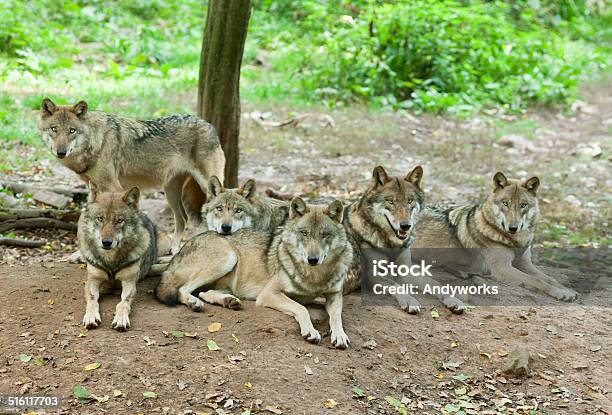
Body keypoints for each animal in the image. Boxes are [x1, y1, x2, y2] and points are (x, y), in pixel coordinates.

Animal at [35, 98, 224, 254]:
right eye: (54, 129)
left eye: (72, 131)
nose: (61, 152)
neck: (96, 142)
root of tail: (209, 125)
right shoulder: (93, 188)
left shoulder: (112, 187)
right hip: (170, 191)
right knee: (183, 219)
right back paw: (174, 250)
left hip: (207, 185)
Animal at [79, 185, 170, 332]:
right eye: (100, 219)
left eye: (119, 220)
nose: (106, 242)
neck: (111, 261)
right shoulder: (92, 281)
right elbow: (92, 300)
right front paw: (91, 317)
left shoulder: (129, 283)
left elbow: (122, 303)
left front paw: (121, 319)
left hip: (164, 243)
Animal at [412, 171, 580, 302]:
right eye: (505, 203)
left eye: (523, 205)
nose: (513, 228)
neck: (514, 241)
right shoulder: (503, 268)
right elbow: (536, 280)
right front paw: (561, 293)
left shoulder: (525, 264)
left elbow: (549, 278)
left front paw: (567, 290)